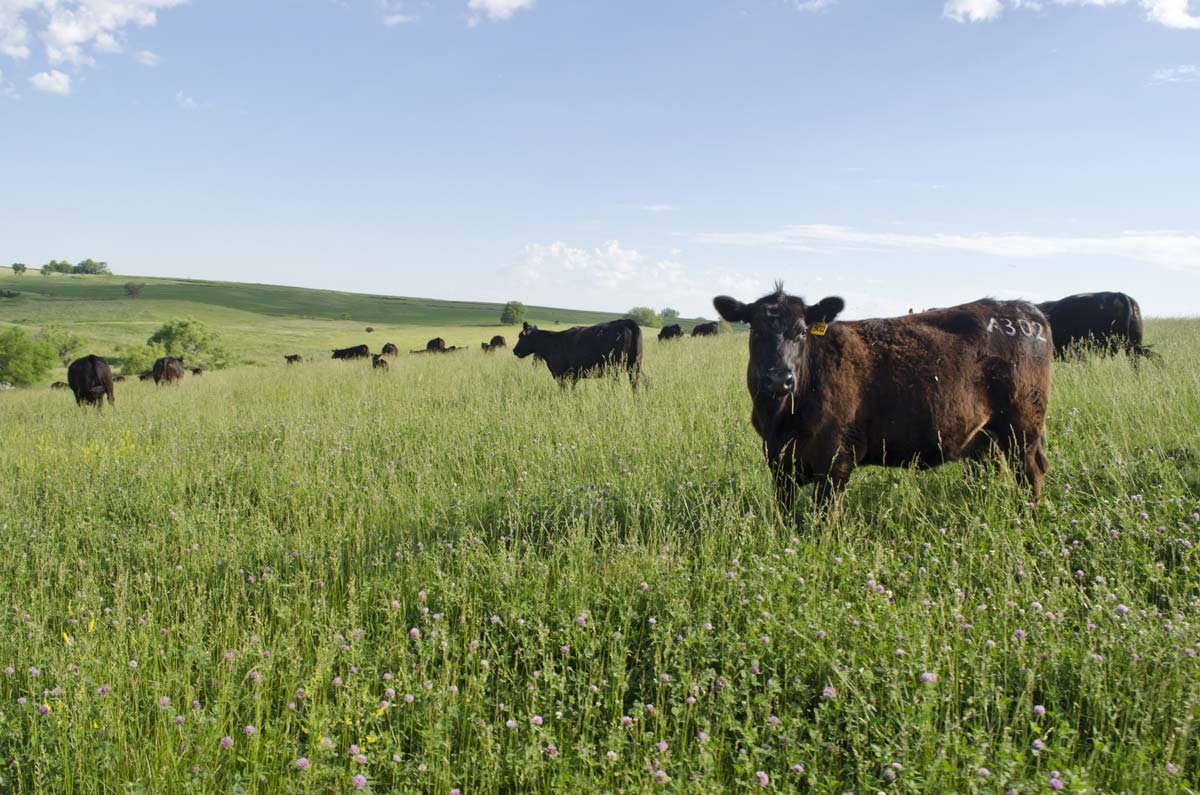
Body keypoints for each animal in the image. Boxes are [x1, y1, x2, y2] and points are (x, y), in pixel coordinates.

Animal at [511, 321, 643, 389]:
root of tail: (626, 322)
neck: (552, 343)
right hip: (635, 366)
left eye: (521, 337)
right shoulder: (574, 376)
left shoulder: (561, 374)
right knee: (635, 385)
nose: (514, 350)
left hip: (614, 368)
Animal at [710, 284, 1051, 516]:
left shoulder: (836, 462)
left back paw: (1026, 516)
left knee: (1031, 472)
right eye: (755, 331)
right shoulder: (779, 463)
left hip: (1023, 428)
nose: (780, 378)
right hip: (985, 437)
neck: (780, 418)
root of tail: (1027, 311)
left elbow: (825, 519)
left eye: (803, 332)